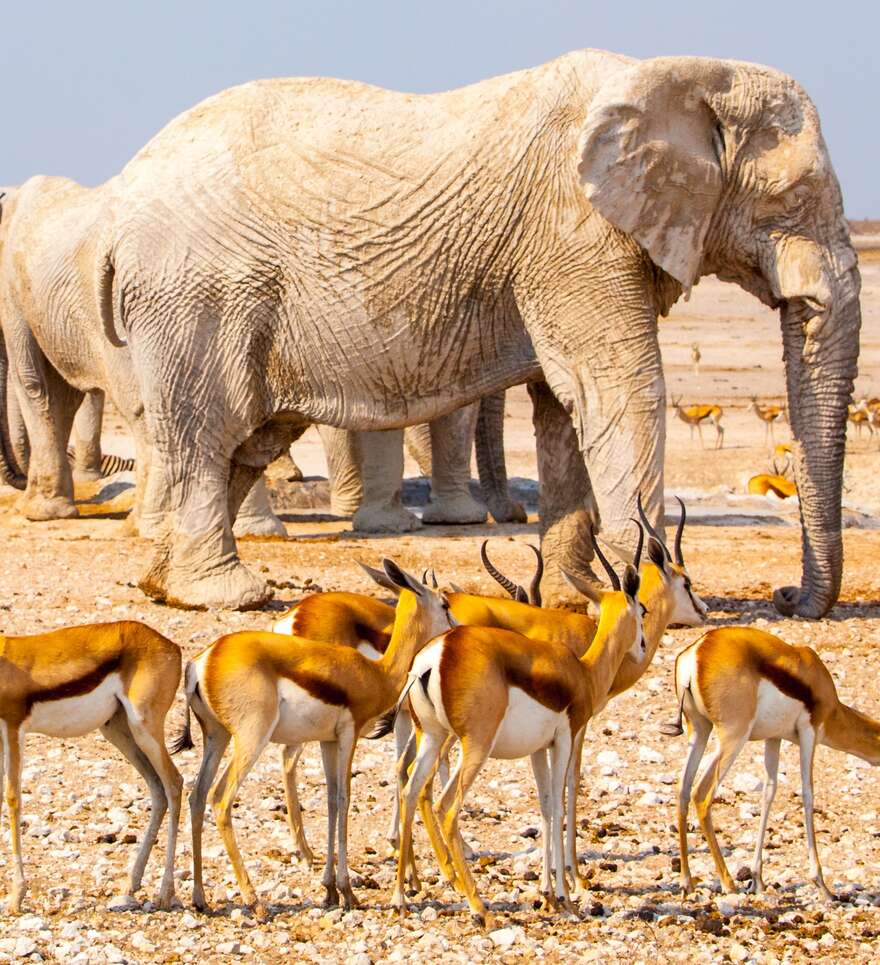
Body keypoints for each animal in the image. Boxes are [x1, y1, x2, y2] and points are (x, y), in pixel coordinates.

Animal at [10, 50, 856, 616]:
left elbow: (562, 411)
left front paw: (579, 595)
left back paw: (163, 584)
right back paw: (228, 596)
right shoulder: (575, 236)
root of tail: (118, 213)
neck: (675, 74)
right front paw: (665, 606)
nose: (789, 596)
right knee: (206, 432)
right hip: (199, 296)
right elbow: (619, 388)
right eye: (793, 197)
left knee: (246, 440)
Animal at [664, 628, 880, 900]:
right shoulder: (809, 733)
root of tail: (699, 648)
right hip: (733, 737)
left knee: (682, 791)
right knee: (701, 794)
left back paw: (687, 882)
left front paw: (758, 879)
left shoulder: (774, 738)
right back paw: (728, 882)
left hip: (700, 730)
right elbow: (808, 794)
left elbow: (769, 793)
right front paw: (822, 885)